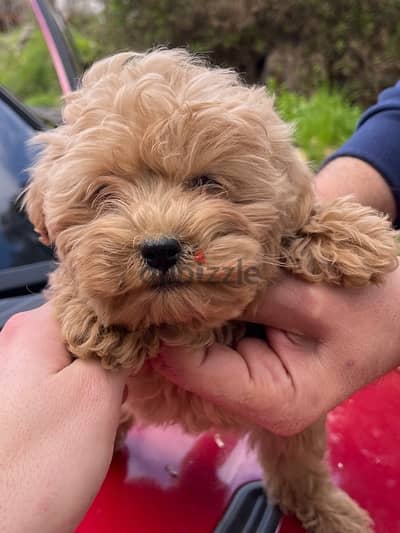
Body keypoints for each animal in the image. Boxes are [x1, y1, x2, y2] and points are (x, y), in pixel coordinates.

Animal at [24, 47, 396, 528]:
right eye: (104, 193)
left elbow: (299, 459)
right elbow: (67, 280)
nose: (160, 248)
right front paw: (97, 318)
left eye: (207, 182)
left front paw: (349, 235)